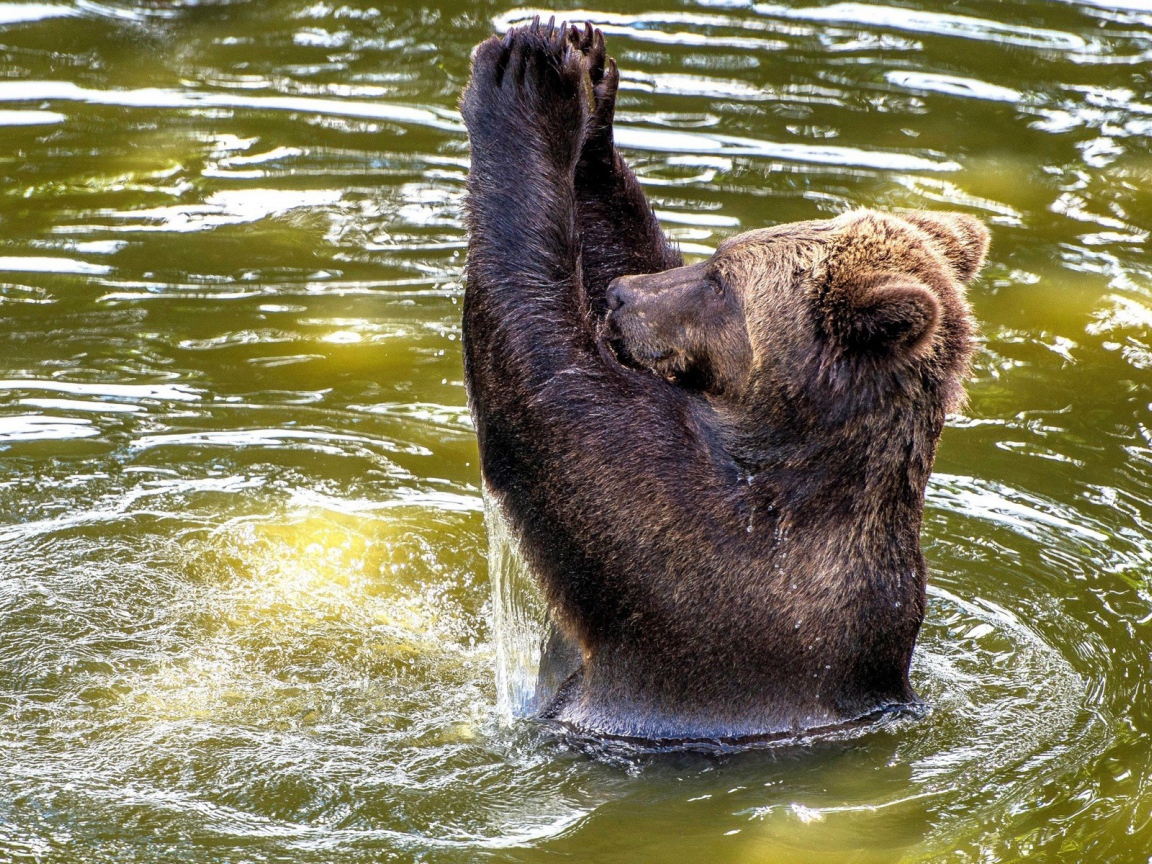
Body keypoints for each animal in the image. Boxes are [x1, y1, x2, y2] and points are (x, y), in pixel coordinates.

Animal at [460, 19, 988, 745]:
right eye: (713, 256)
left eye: (720, 281)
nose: (622, 297)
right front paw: (590, 83)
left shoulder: (691, 555)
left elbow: (545, 385)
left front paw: (528, 84)